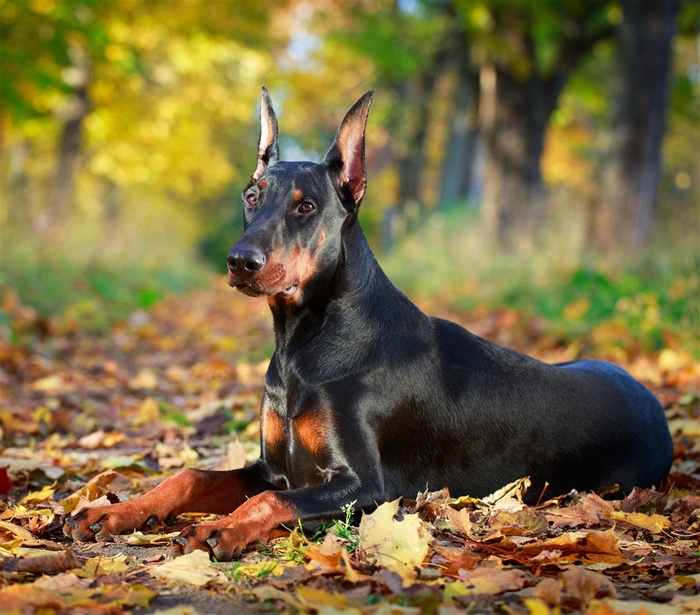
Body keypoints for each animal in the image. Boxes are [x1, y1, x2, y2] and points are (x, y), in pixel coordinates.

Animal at [65, 88, 672, 564]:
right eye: (251, 197)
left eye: (306, 206)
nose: (240, 261)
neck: (304, 344)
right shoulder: (274, 466)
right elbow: (191, 476)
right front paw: (116, 512)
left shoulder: (366, 487)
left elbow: (268, 501)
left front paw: (221, 529)